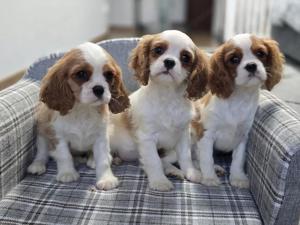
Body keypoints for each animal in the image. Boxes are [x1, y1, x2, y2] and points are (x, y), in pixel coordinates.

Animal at [27, 42, 130, 190]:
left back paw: (92, 159)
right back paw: (37, 165)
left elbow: (103, 159)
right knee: (42, 152)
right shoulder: (58, 137)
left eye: (109, 75)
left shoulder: (101, 137)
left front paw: (106, 179)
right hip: (42, 132)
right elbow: (64, 155)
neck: (83, 109)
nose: (99, 88)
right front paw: (67, 173)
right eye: (81, 74)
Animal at [109, 29, 210, 191]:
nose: (169, 62)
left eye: (185, 57)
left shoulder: (183, 135)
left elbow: (185, 156)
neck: (167, 96)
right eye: (158, 50)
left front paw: (191, 172)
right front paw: (159, 181)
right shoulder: (147, 137)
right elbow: (154, 160)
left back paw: (173, 170)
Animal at [192, 33, 284, 188]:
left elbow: (238, 159)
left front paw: (238, 178)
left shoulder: (242, 136)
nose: (251, 65)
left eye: (260, 53)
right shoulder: (205, 133)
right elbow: (206, 158)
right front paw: (210, 178)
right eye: (234, 59)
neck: (240, 98)